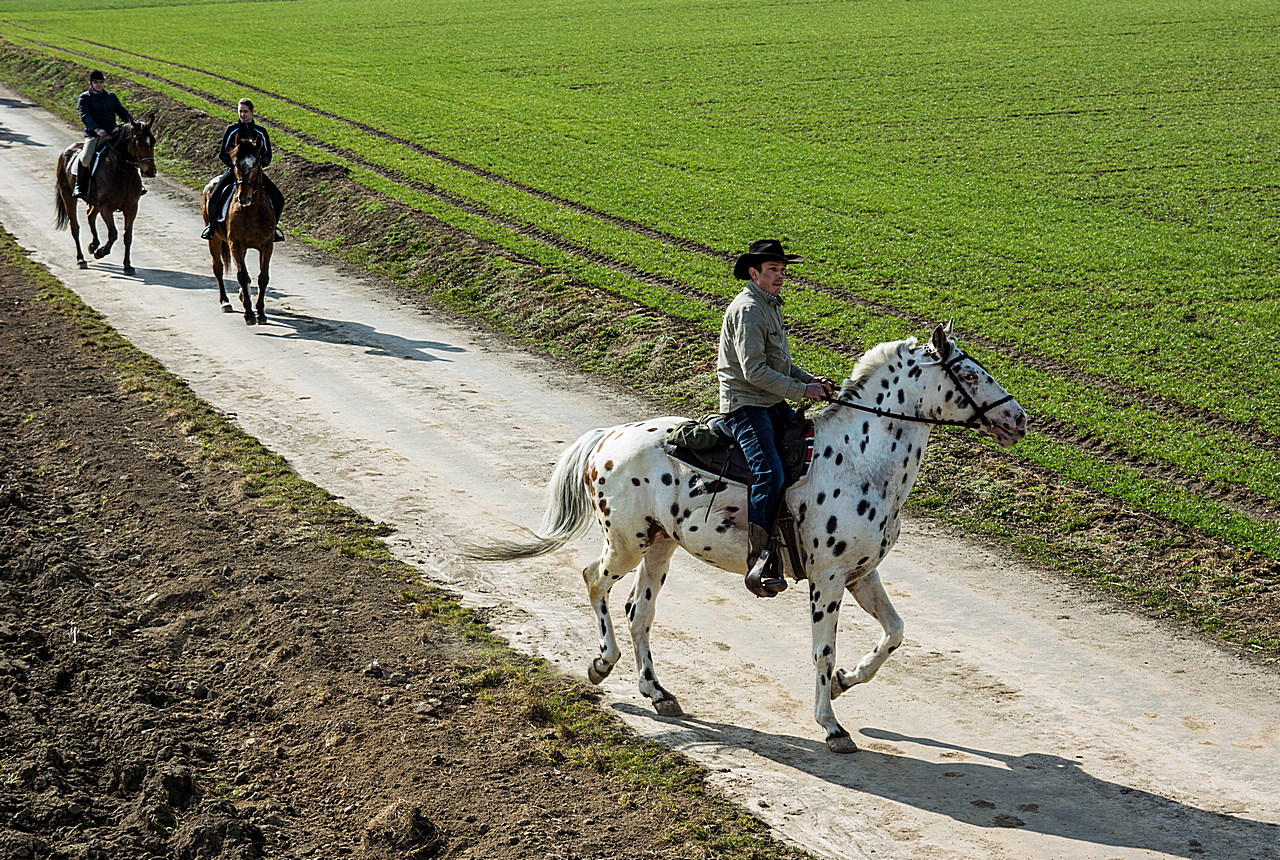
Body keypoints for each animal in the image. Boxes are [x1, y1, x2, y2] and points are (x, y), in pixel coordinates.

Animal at [54, 113, 157, 273]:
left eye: (153, 141)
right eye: (139, 143)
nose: (150, 172)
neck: (122, 171)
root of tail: (67, 150)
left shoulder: (131, 208)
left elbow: (128, 236)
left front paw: (127, 265)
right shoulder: (106, 209)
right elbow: (113, 234)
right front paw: (101, 252)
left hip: (95, 202)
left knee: (90, 216)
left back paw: (93, 245)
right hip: (68, 198)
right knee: (75, 227)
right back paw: (81, 259)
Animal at [202, 136, 277, 323]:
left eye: (256, 163)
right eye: (235, 163)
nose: (244, 197)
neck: (252, 211)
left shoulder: (267, 244)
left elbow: (263, 277)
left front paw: (261, 312)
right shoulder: (235, 243)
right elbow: (242, 276)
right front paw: (249, 314)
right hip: (215, 239)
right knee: (218, 268)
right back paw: (225, 302)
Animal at [465, 323, 1024, 752]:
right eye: (968, 373)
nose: (1018, 419)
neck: (862, 460)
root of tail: (609, 438)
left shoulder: (862, 574)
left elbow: (894, 632)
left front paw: (846, 682)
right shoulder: (828, 579)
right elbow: (823, 651)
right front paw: (832, 725)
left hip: (662, 547)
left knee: (639, 612)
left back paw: (658, 692)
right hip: (627, 542)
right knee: (593, 581)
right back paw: (603, 663)